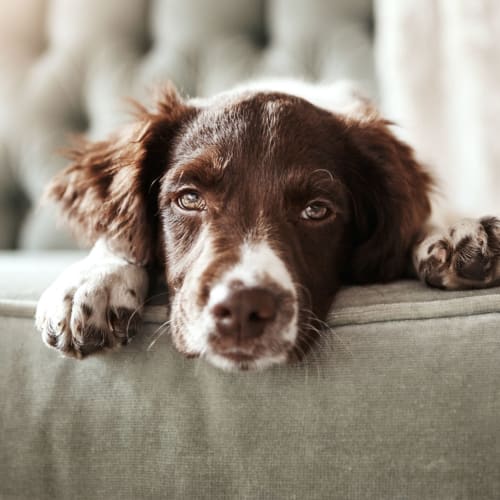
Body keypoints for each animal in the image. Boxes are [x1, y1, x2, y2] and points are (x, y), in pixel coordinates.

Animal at [35, 80, 500, 372]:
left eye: (317, 210)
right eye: (189, 198)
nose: (243, 308)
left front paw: (455, 234)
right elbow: (118, 235)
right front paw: (92, 281)